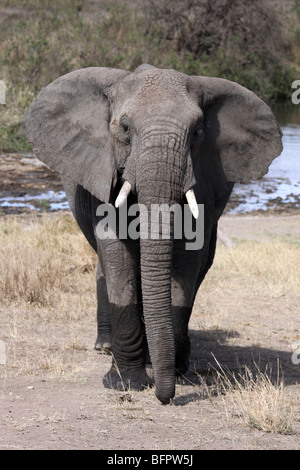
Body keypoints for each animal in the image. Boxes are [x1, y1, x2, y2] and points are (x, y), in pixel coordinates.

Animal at [22, 63, 282, 404]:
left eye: (197, 133)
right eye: (124, 129)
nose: (165, 397)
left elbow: (188, 259)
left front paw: (170, 369)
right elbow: (115, 253)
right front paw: (128, 382)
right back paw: (106, 348)